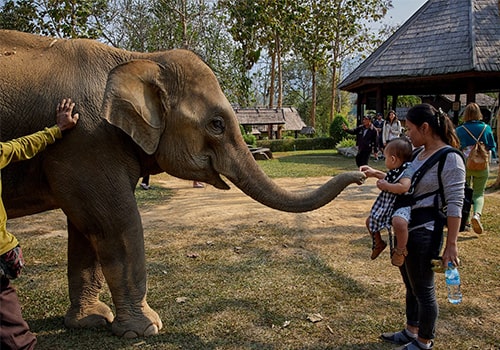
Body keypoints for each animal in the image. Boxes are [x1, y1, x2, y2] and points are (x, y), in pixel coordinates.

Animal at [0, 30, 368, 340]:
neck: (138, 57)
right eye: (217, 124)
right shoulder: (86, 142)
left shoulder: (79, 150)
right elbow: (115, 224)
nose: (363, 174)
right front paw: (145, 329)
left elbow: (84, 230)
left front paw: (91, 320)